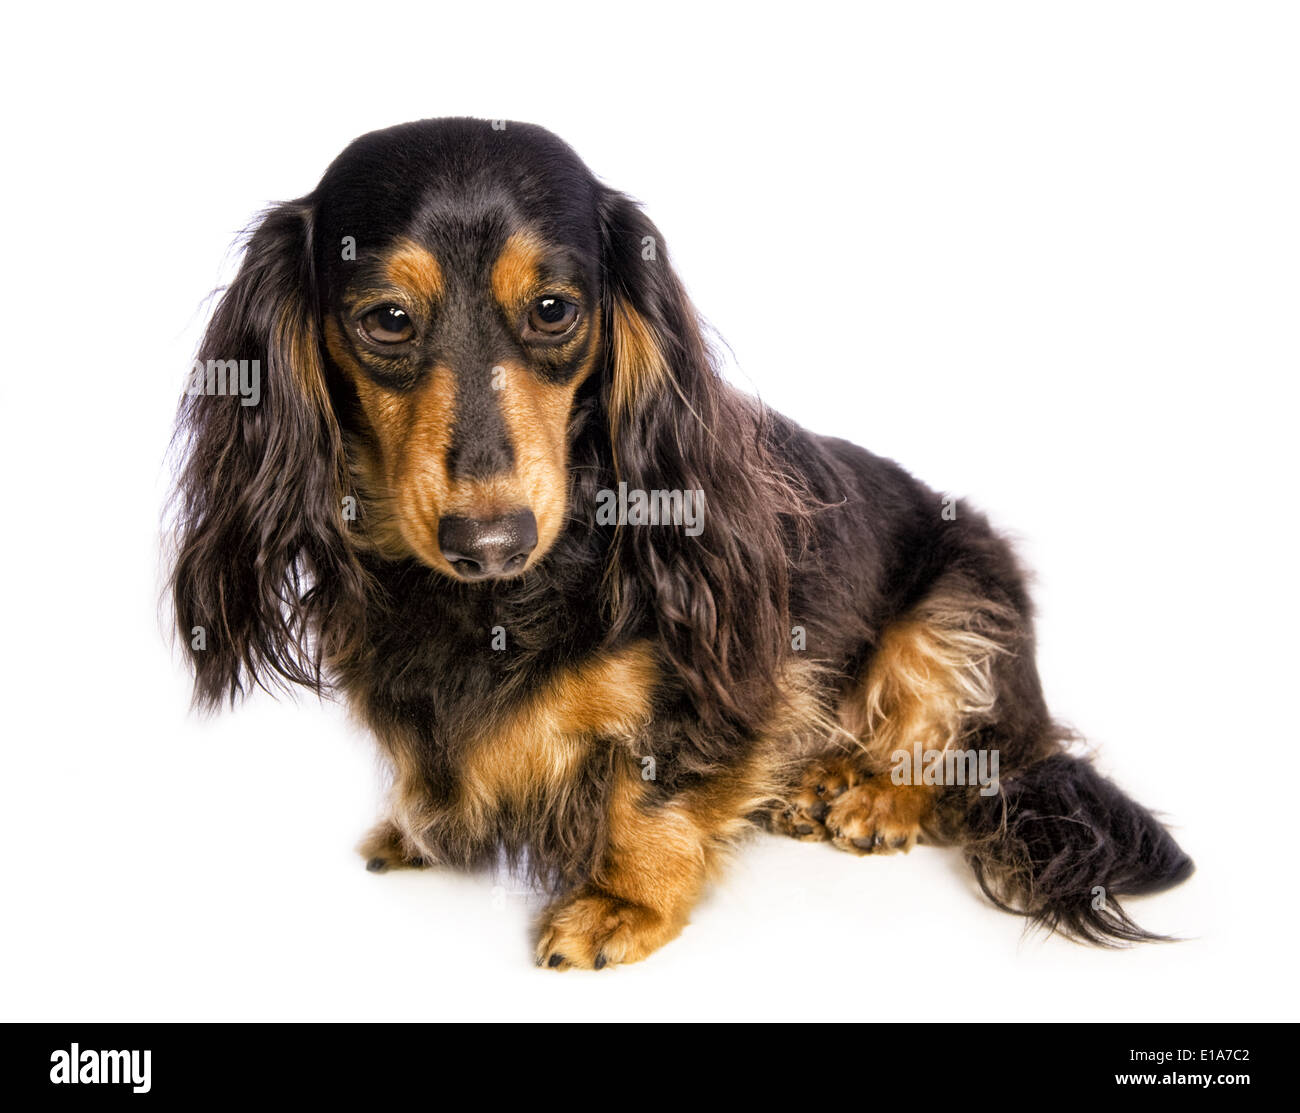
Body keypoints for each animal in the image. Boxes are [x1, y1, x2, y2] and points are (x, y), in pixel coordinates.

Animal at [167, 115, 1190, 967]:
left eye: (553, 309)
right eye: (386, 318)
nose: (490, 539)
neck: (493, 600)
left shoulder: (723, 664)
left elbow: (652, 784)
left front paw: (625, 899)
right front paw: (414, 828)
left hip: (961, 601)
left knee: (953, 745)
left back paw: (872, 793)